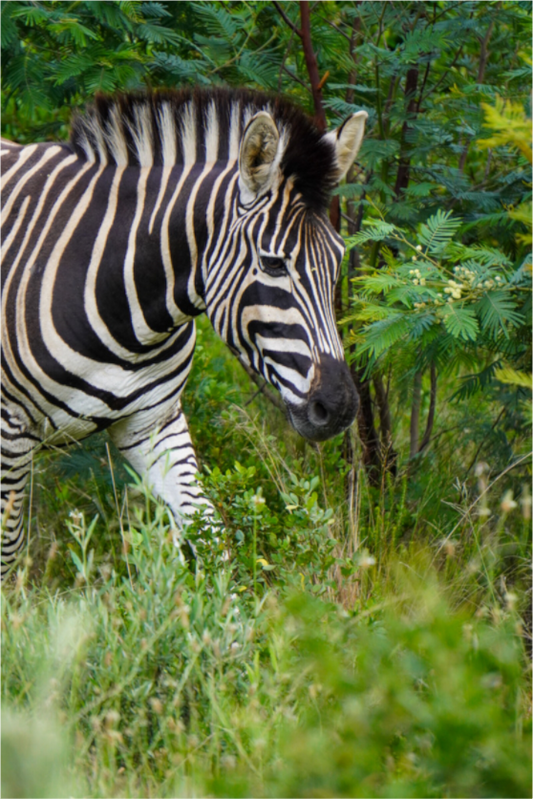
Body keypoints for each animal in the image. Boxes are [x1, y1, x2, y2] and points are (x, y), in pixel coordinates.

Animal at [0, 87, 367, 575]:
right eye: (272, 264)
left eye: (338, 260)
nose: (340, 408)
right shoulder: (9, 432)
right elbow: (7, 554)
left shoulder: (152, 424)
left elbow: (211, 536)